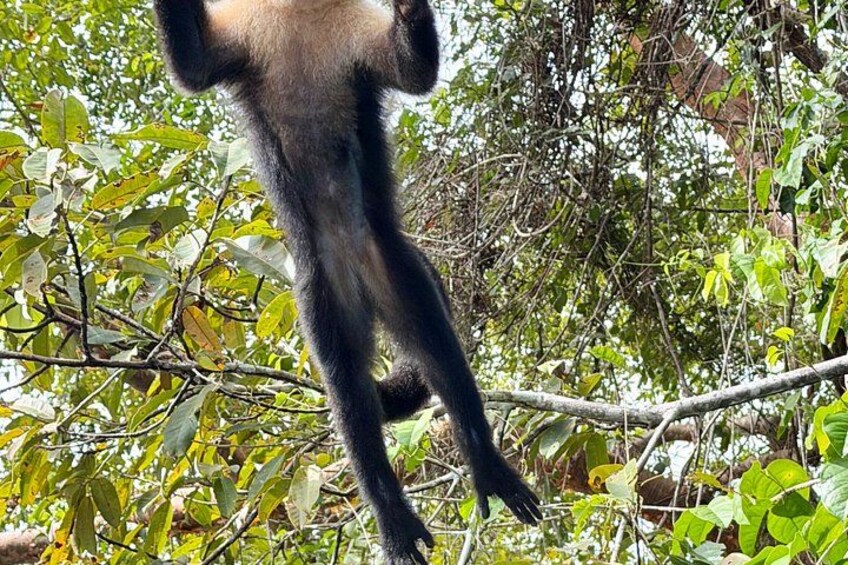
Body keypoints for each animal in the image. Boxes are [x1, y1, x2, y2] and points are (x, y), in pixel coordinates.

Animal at [152, 0, 541, 562]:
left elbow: (412, 74)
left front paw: (412, 7)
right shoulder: (248, 25)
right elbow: (195, 66)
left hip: (396, 269)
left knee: (437, 352)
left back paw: (484, 464)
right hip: (321, 288)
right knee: (349, 389)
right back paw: (392, 515)